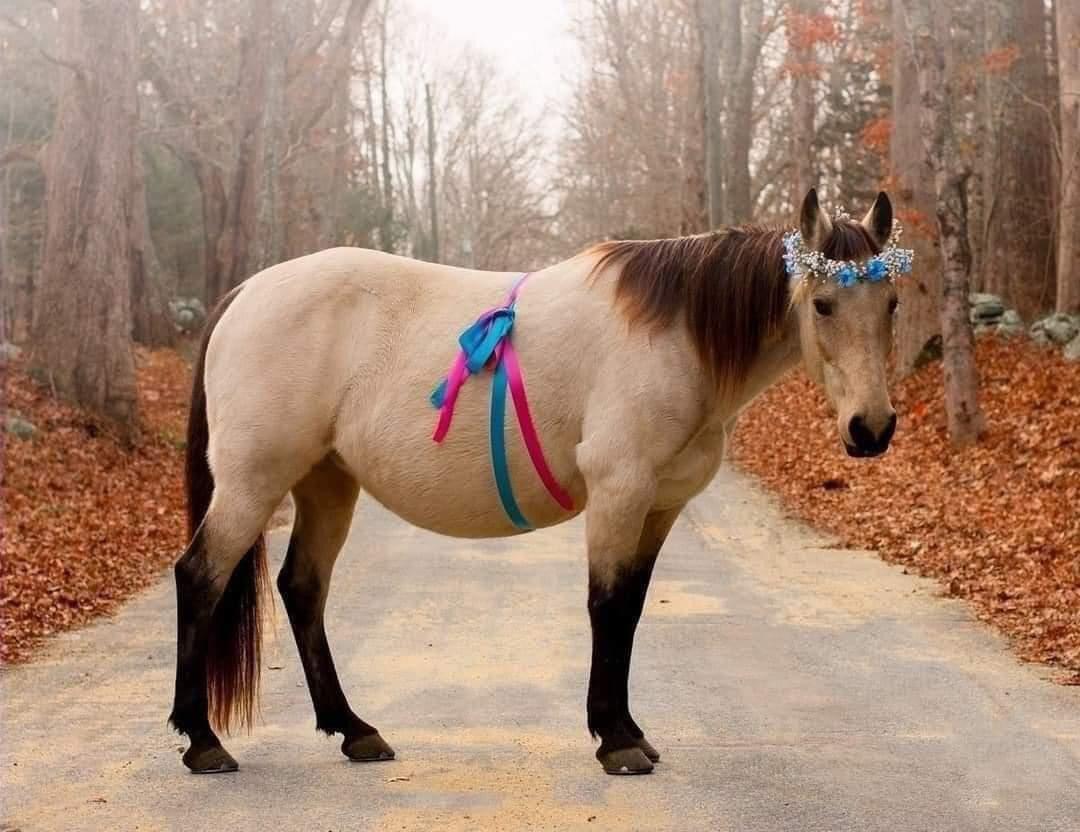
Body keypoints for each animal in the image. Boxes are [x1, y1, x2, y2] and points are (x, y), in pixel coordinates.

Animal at [168, 185, 911, 769]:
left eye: (892, 304)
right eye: (823, 304)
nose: (871, 429)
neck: (673, 334)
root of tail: (246, 292)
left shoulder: (659, 507)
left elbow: (630, 609)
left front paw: (627, 728)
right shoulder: (619, 492)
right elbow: (606, 607)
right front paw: (616, 742)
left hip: (327, 484)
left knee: (302, 590)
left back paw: (354, 731)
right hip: (252, 484)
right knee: (200, 577)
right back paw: (203, 742)